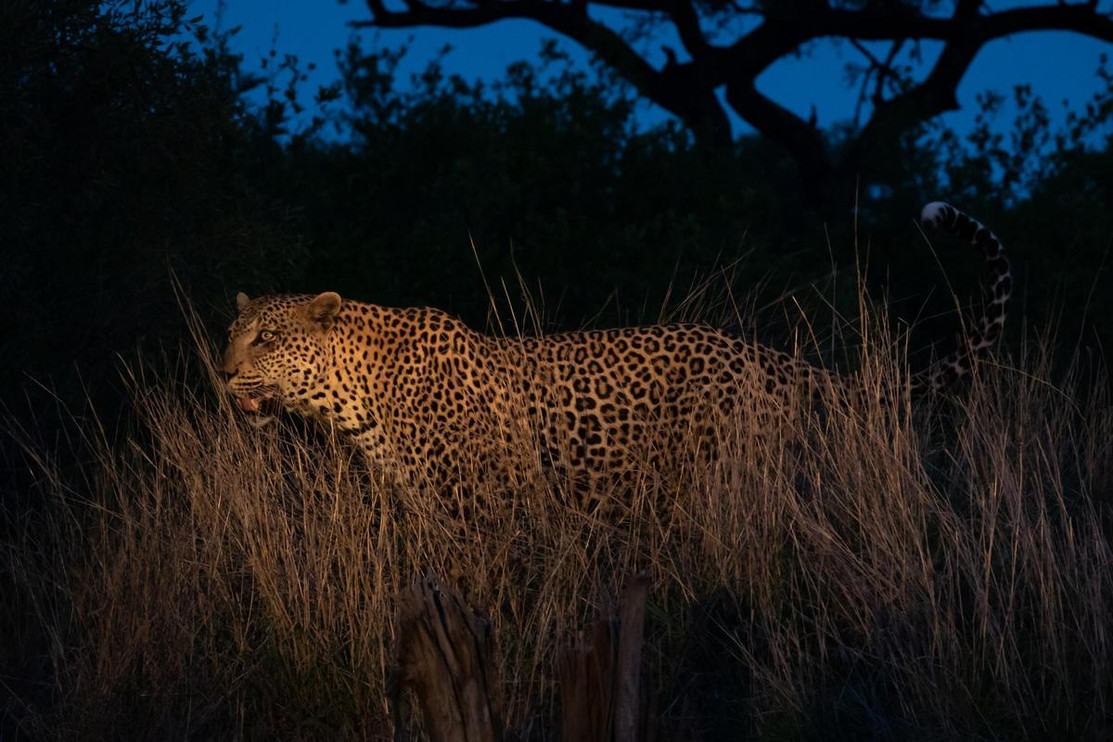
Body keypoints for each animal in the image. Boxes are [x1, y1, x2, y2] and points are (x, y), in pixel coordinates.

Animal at [222, 202, 1010, 503]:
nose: (223, 373)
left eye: (268, 338)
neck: (352, 396)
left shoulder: (486, 500)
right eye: (233, 332)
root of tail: (760, 354)